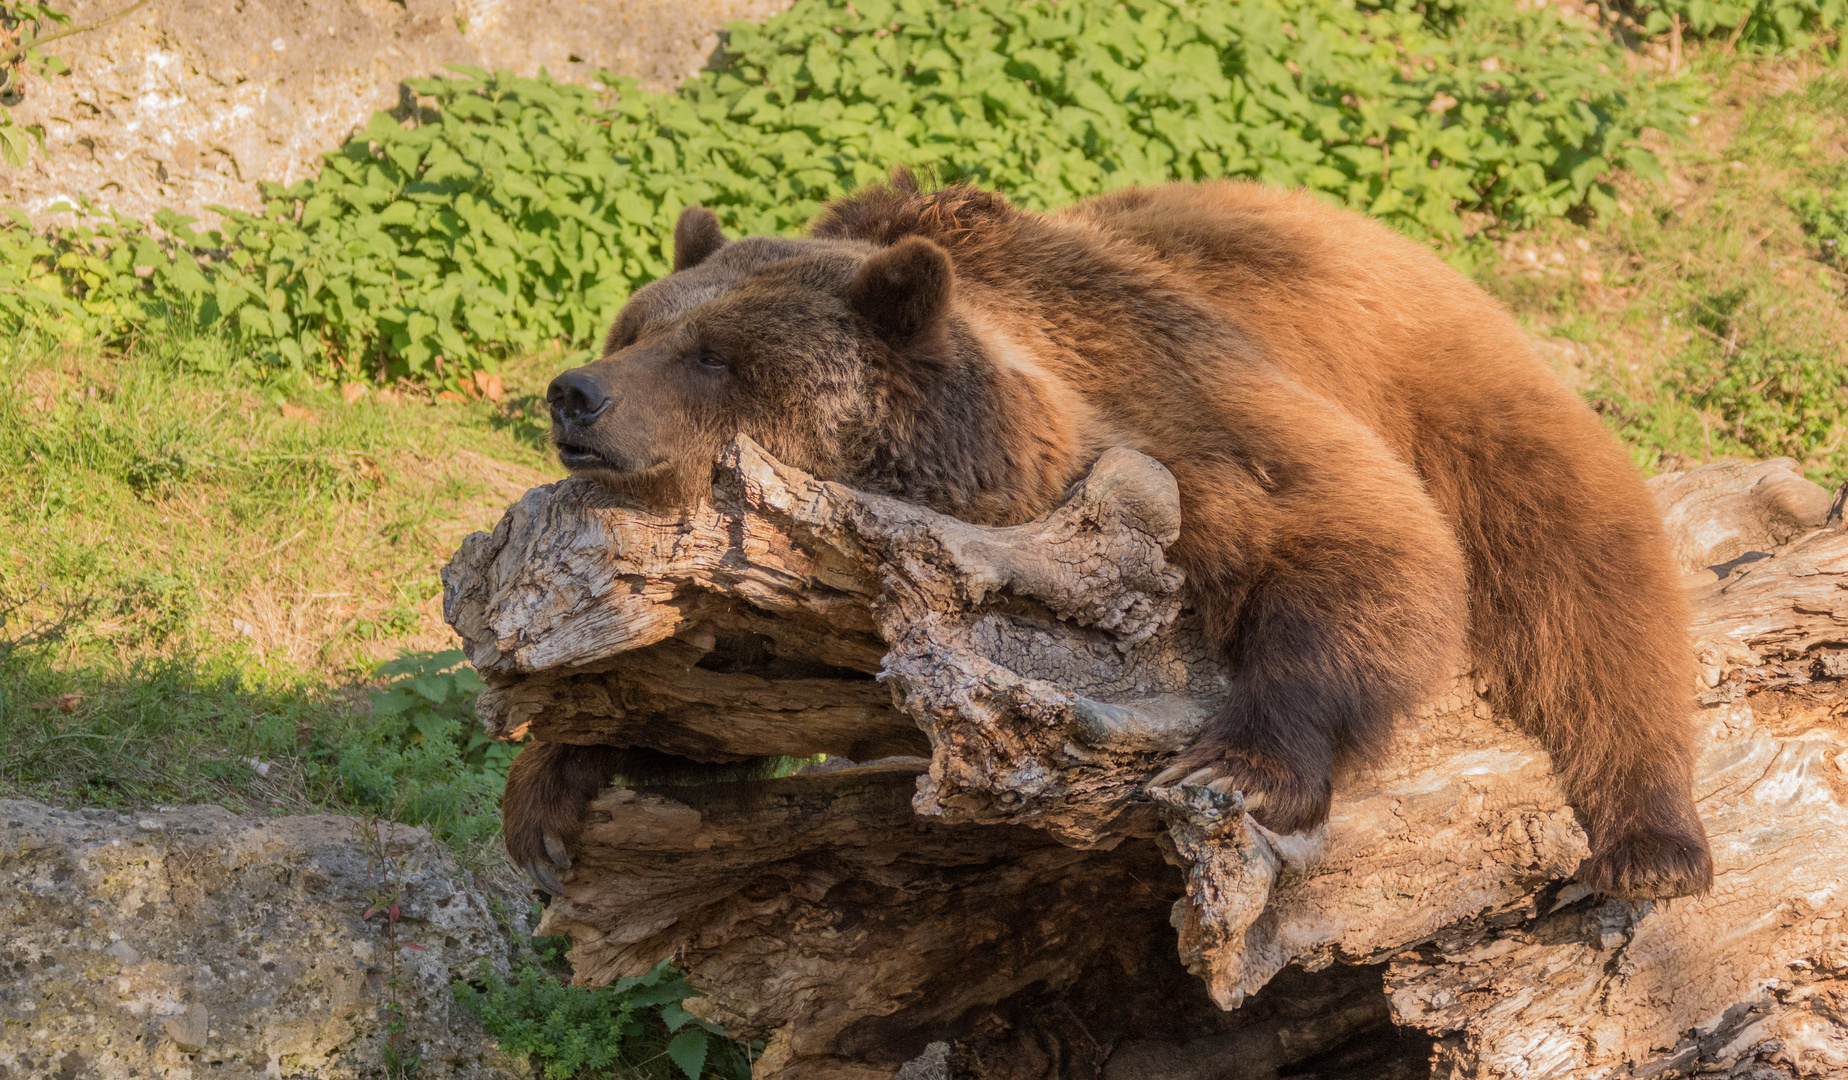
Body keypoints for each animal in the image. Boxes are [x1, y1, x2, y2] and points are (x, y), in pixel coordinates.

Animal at [506, 174, 1714, 902]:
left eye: (715, 355)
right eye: (634, 325)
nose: (577, 394)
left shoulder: (1172, 430)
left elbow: (1358, 536)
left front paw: (1241, 765)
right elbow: (690, 689)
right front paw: (554, 795)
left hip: (1449, 389)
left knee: (1579, 577)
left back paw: (1651, 841)